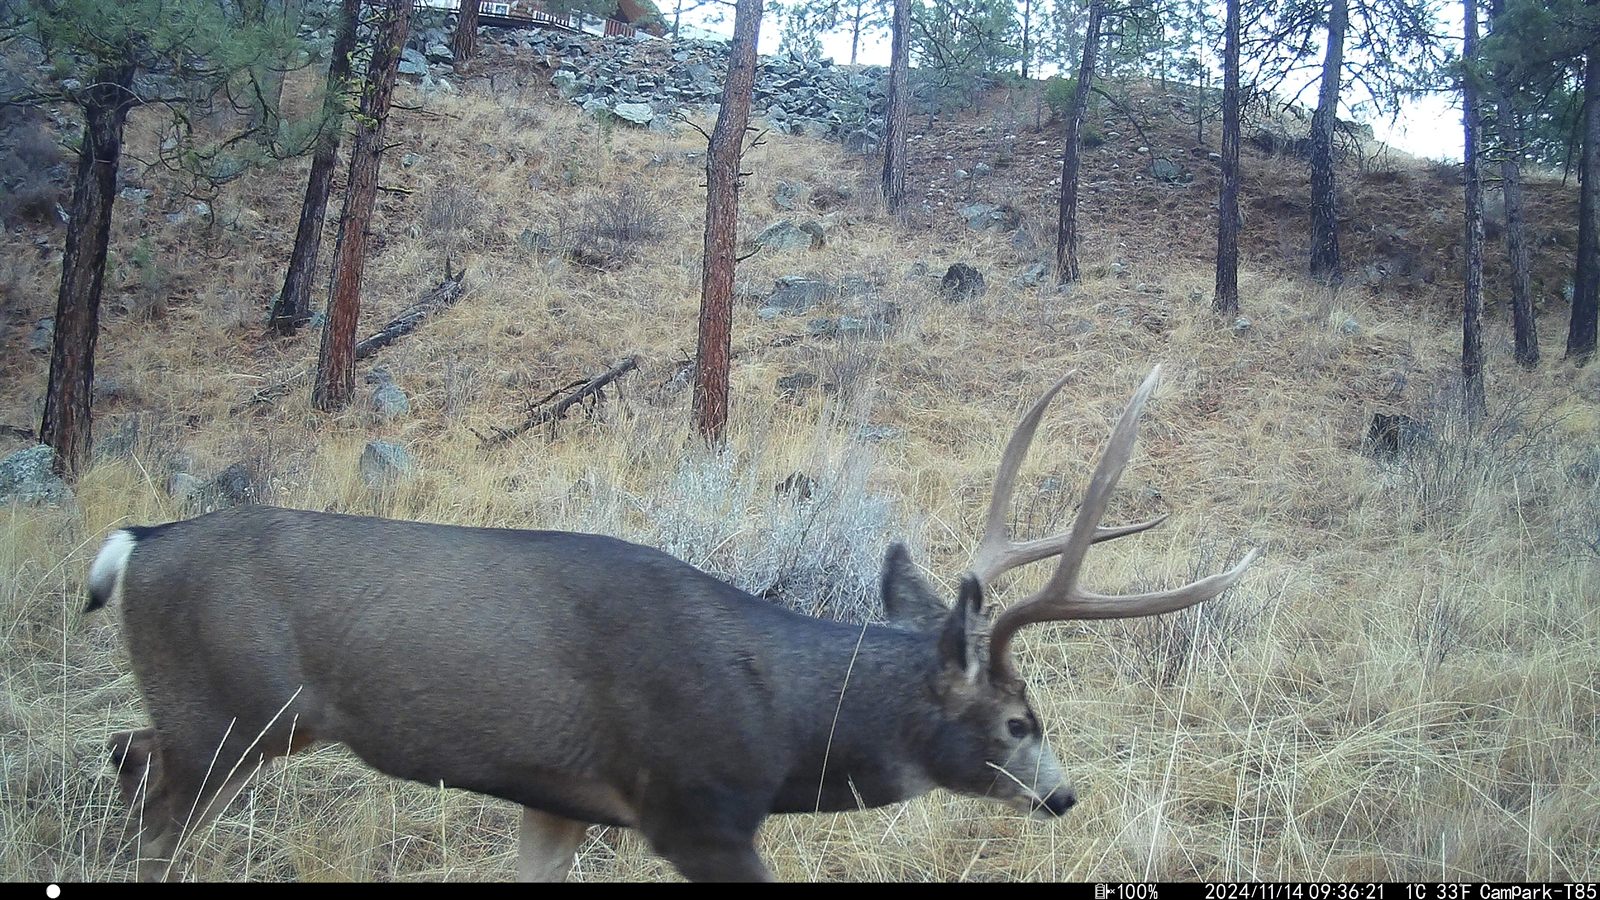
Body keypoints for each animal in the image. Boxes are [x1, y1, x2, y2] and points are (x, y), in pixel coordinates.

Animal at [86, 365, 1258, 882]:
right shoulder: (695, 809)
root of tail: (139, 540)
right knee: (152, 811)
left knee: (126, 754)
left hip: (223, 720)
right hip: (227, 716)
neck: (780, 726)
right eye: (1019, 720)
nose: (1064, 796)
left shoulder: (557, 799)